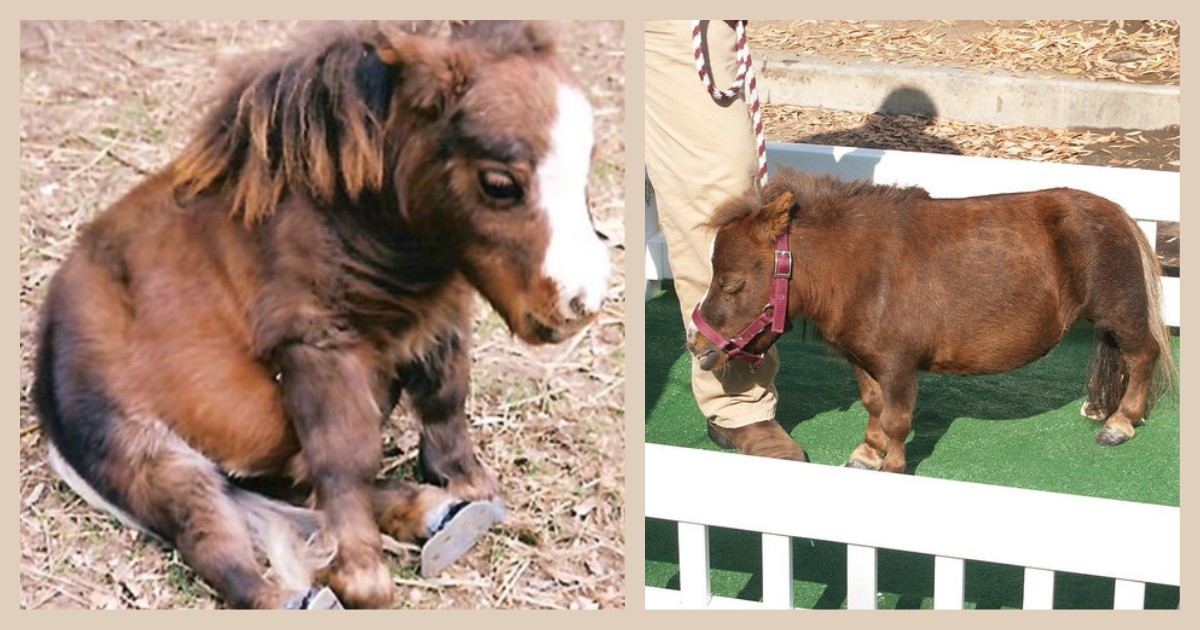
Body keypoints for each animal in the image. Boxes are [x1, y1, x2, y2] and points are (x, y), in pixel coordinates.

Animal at [34, 20, 614, 609]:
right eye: (499, 183)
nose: (580, 304)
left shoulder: (437, 315)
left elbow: (445, 403)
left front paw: (471, 495)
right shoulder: (315, 346)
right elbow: (346, 453)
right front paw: (361, 576)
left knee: (271, 485)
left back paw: (434, 513)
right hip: (147, 455)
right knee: (211, 529)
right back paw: (298, 596)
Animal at [691, 166, 1176, 470]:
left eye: (731, 283)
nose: (697, 346)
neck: (862, 271)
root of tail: (1118, 213)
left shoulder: (899, 365)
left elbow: (897, 419)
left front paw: (891, 466)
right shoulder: (863, 360)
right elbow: (874, 406)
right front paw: (866, 453)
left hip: (1119, 312)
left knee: (1143, 355)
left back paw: (1120, 423)